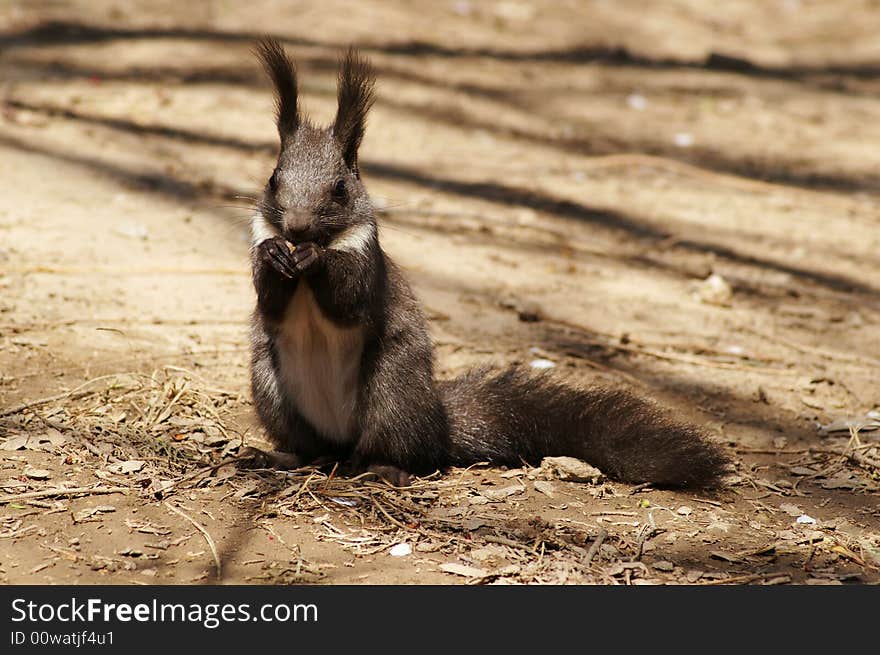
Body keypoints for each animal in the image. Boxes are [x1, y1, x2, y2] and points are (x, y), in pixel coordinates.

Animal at [246, 36, 728, 486]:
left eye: (340, 189)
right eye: (273, 178)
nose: (297, 228)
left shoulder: (367, 261)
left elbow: (348, 299)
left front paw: (315, 259)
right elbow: (269, 300)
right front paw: (274, 256)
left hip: (391, 392)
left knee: (395, 448)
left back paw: (384, 469)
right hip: (272, 388)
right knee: (311, 448)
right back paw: (279, 458)